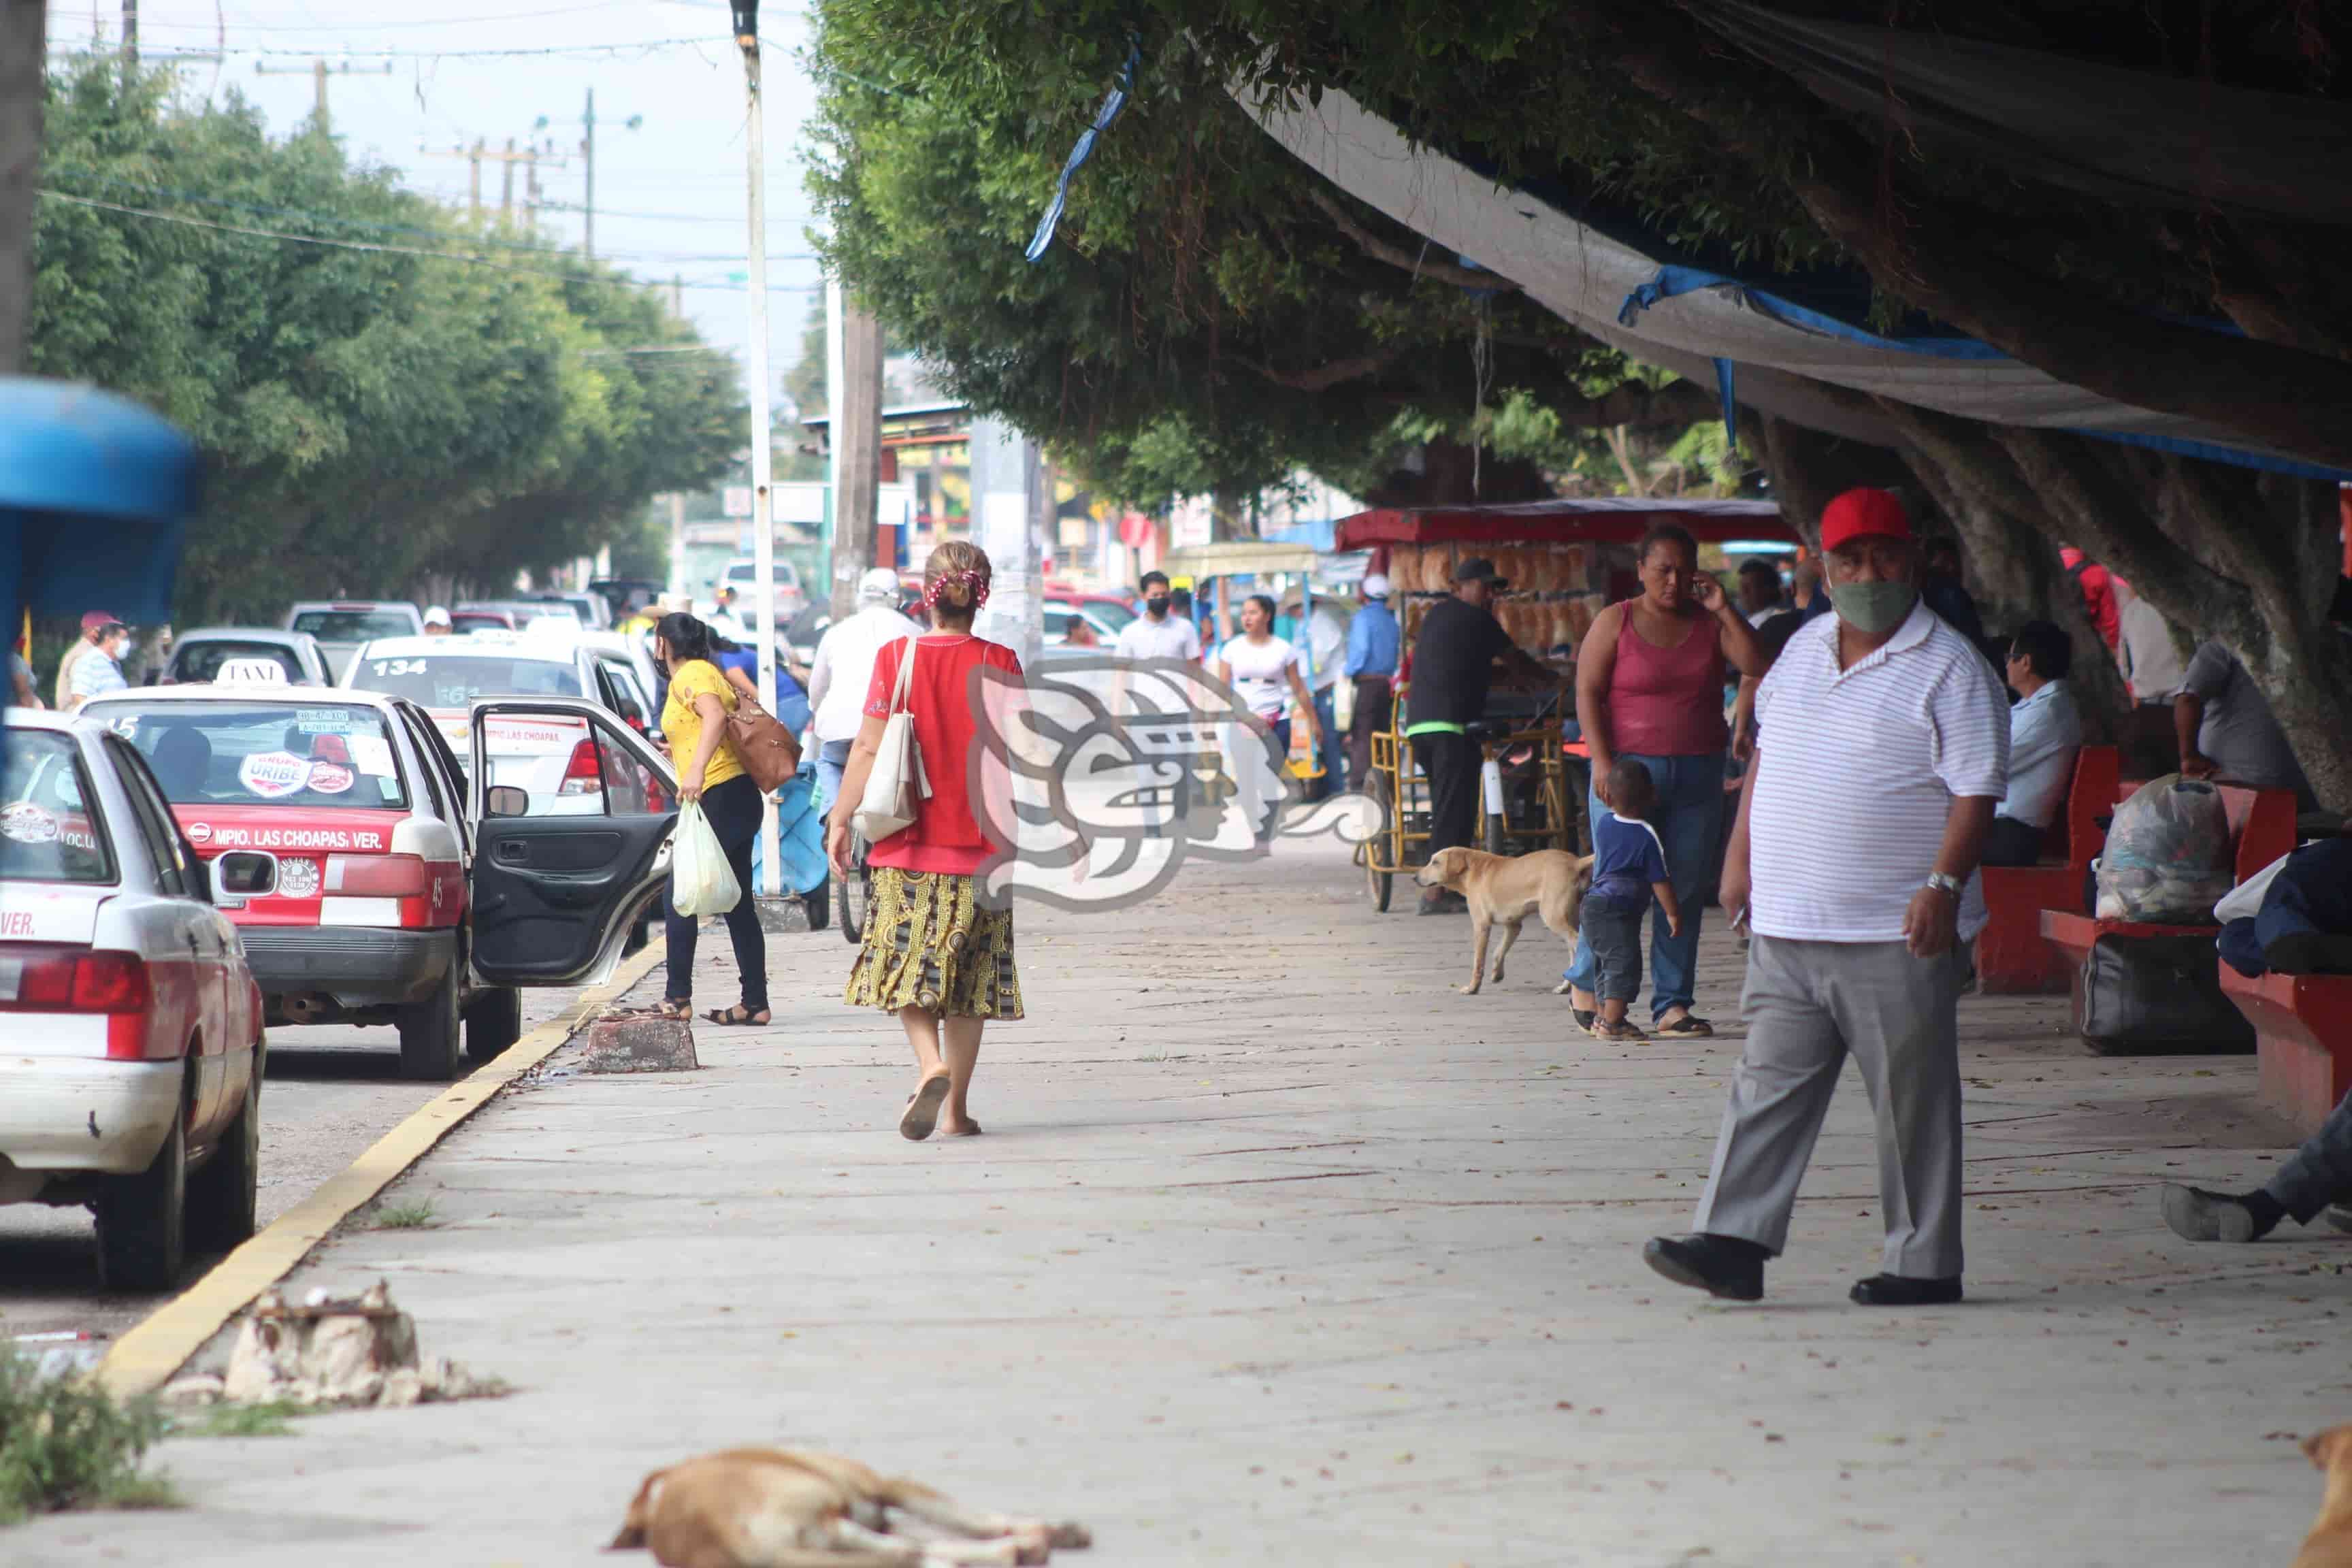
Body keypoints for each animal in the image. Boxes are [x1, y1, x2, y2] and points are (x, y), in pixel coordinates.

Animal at [1411, 846, 1599, 992]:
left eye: (1435, 862)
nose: (1414, 877)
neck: (1472, 869)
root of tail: (1575, 863)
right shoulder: (1513, 925)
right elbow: (1499, 951)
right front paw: (1497, 973)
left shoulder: (1481, 926)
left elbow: (1478, 962)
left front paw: (1473, 988)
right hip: (1569, 919)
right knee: (1573, 952)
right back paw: (1566, 987)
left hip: (1553, 917)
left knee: (1579, 945)